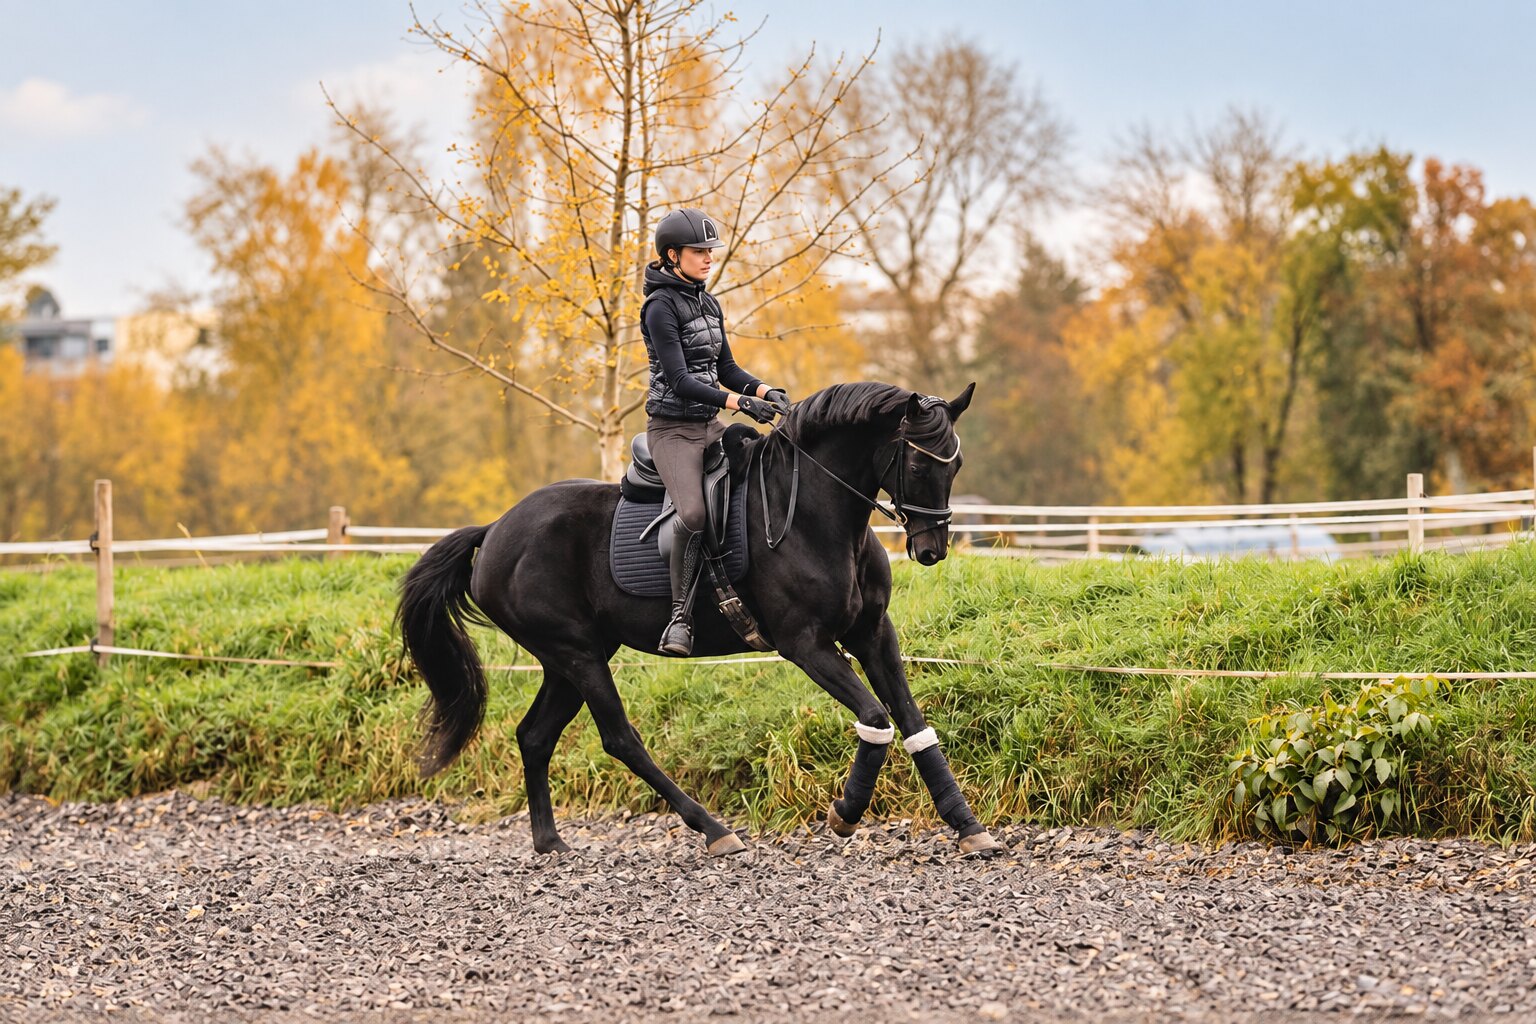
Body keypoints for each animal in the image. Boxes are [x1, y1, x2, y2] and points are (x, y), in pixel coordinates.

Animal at [396, 381, 1004, 857]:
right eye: (920, 462)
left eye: (957, 463)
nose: (932, 550)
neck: (817, 515)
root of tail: (496, 528)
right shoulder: (805, 644)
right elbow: (877, 719)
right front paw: (845, 812)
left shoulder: (873, 634)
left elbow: (914, 723)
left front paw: (967, 826)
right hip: (577, 654)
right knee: (619, 738)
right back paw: (714, 830)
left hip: (569, 659)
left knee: (534, 736)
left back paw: (550, 843)